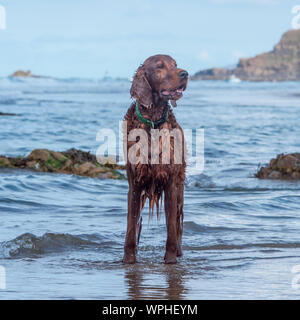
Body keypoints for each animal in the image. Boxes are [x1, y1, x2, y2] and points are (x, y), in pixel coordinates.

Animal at [122, 55, 188, 264]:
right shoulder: (135, 184)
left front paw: (170, 260)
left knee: (178, 223)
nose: (185, 73)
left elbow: (171, 228)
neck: (152, 123)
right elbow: (131, 228)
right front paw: (128, 260)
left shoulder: (171, 183)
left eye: (175, 65)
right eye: (160, 67)